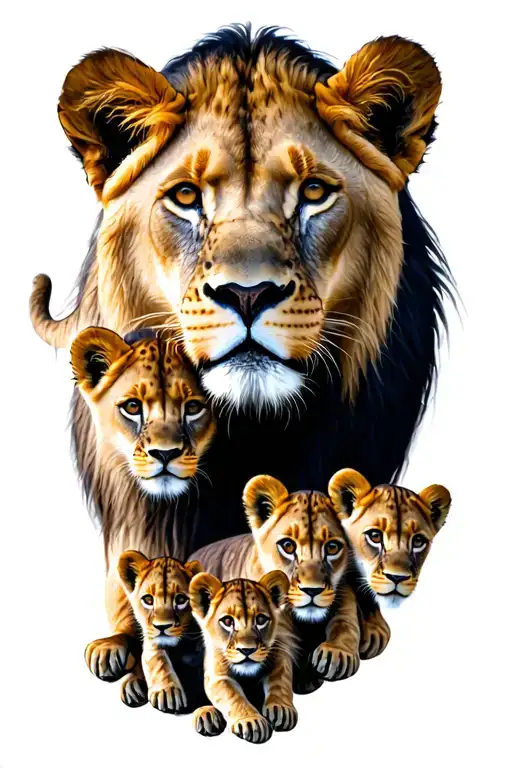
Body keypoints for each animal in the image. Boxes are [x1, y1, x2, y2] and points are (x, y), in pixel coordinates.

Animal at [189, 571, 297, 743]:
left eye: (261, 620)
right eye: (227, 621)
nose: (247, 650)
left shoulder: (281, 655)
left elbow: (280, 682)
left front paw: (281, 709)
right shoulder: (218, 676)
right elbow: (233, 696)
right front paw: (251, 721)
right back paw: (206, 715)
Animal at [191, 471, 391, 694]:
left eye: (332, 547)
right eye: (287, 546)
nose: (311, 591)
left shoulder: (343, 590)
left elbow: (345, 620)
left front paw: (337, 652)